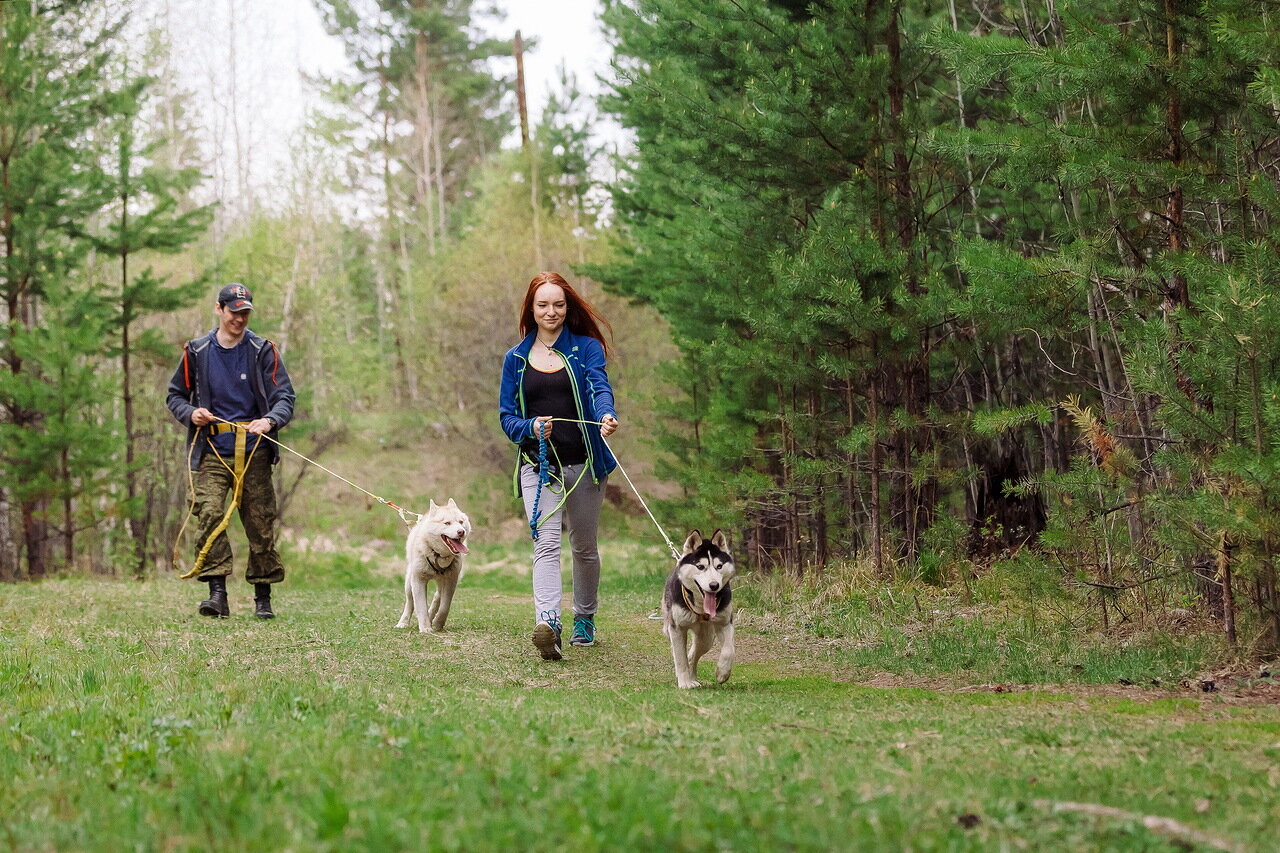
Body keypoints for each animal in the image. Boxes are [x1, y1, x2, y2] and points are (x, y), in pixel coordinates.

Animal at [394, 499, 471, 630]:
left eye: (461, 522)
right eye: (447, 523)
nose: (461, 531)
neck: (438, 555)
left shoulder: (451, 581)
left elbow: (445, 606)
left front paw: (437, 624)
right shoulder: (418, 580)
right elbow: (420, 606)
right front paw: (425, 628)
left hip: (443, 582)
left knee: (437, 597)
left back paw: (431, 616)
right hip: (409, 583)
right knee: (410, 602)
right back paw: (403, 622)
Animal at [665, 527, 737, 686]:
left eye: (719, 566)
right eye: (700, 566)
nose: (714, 585)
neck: (700, 607)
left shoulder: (725, 623)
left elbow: (729, 649)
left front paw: (722, 673)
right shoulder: (677, 628)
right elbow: (680, 659)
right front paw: (684, 683)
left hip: (706, 639)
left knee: (693, 656)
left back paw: (693, 677)